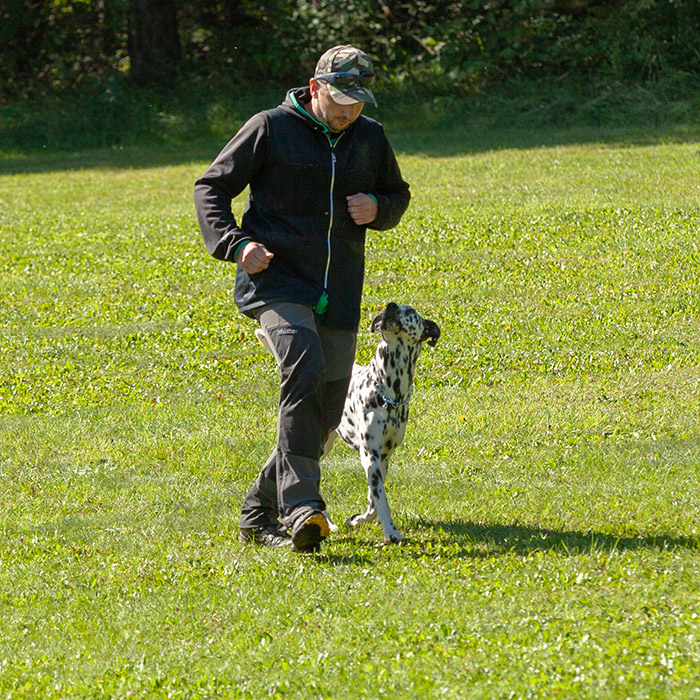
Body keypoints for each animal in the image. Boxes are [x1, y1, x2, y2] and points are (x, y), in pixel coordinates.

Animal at [322, 300, 440, 540]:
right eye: (391, 307)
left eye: (410, 310)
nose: (391, 306)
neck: (391, 392)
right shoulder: (370, 455)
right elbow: (382, 501)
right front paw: (392, 532)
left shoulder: (382, 458)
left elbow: (374, 501)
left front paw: (358, 519)